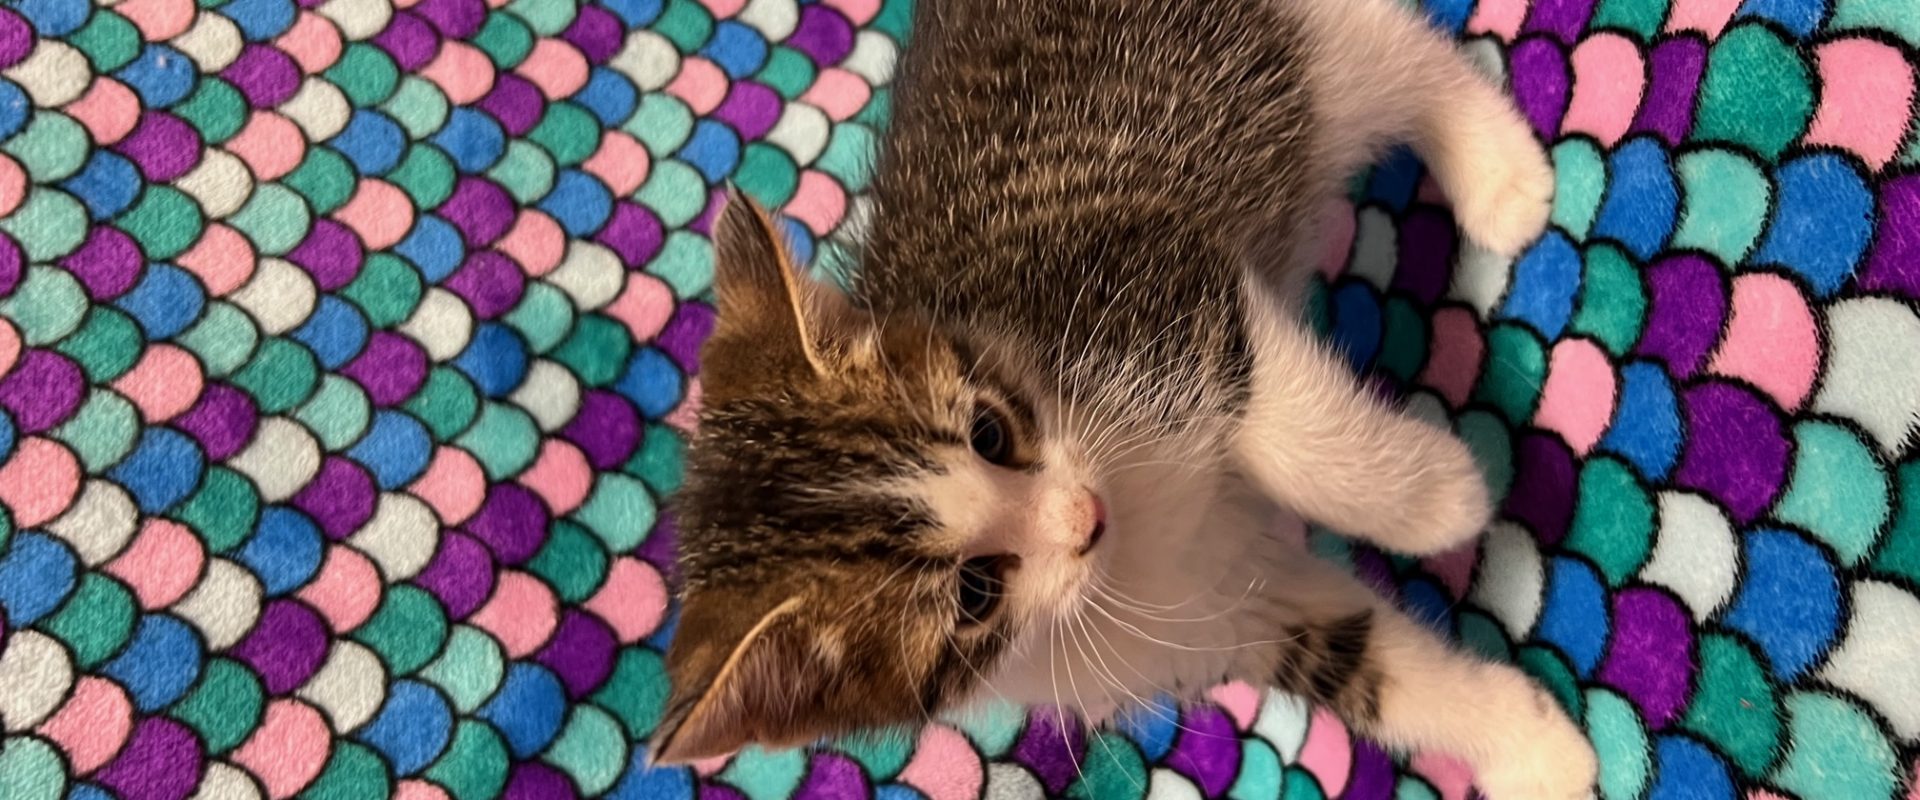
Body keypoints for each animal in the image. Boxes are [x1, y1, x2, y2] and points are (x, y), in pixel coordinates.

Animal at [654, 0, 1598, 797]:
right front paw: (1531, 748)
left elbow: (1286, 419)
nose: (1086, 515)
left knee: (1385, 47)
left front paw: (1440, 497)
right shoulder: (1221, 610)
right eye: (974, 595)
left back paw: (1498, 172)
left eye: (989, 432)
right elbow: (1356, 658)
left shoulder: (1146, 276)